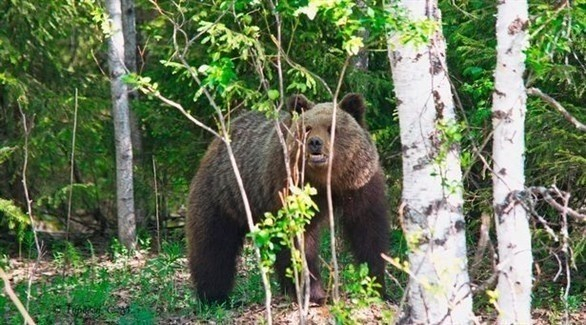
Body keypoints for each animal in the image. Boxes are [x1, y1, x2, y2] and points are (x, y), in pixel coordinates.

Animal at [186, 93, 388, 304]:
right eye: (307, 128)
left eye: (331, 128)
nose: (315, 142)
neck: (326, 182)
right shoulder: (287, 185)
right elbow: (299, 241)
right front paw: (314, 293)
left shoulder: (359, 185)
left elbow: (369, 229)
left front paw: (377, 286)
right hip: (222, 196)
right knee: (213, 246)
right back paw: (214, 296)